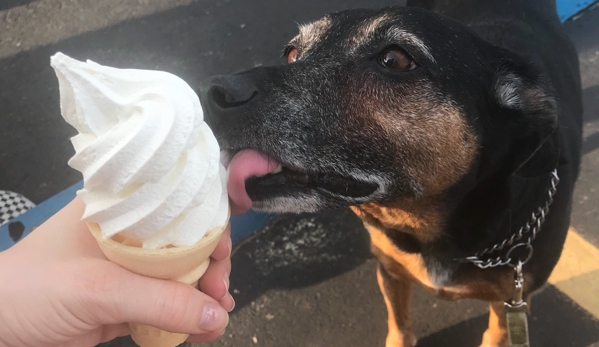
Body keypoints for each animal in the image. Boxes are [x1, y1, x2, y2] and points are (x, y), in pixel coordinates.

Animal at [199, 0, 584, 346]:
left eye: (395, 59)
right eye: (292, 54)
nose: (210, 92)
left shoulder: (511, 303)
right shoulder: (389, 269)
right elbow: (398, 323)